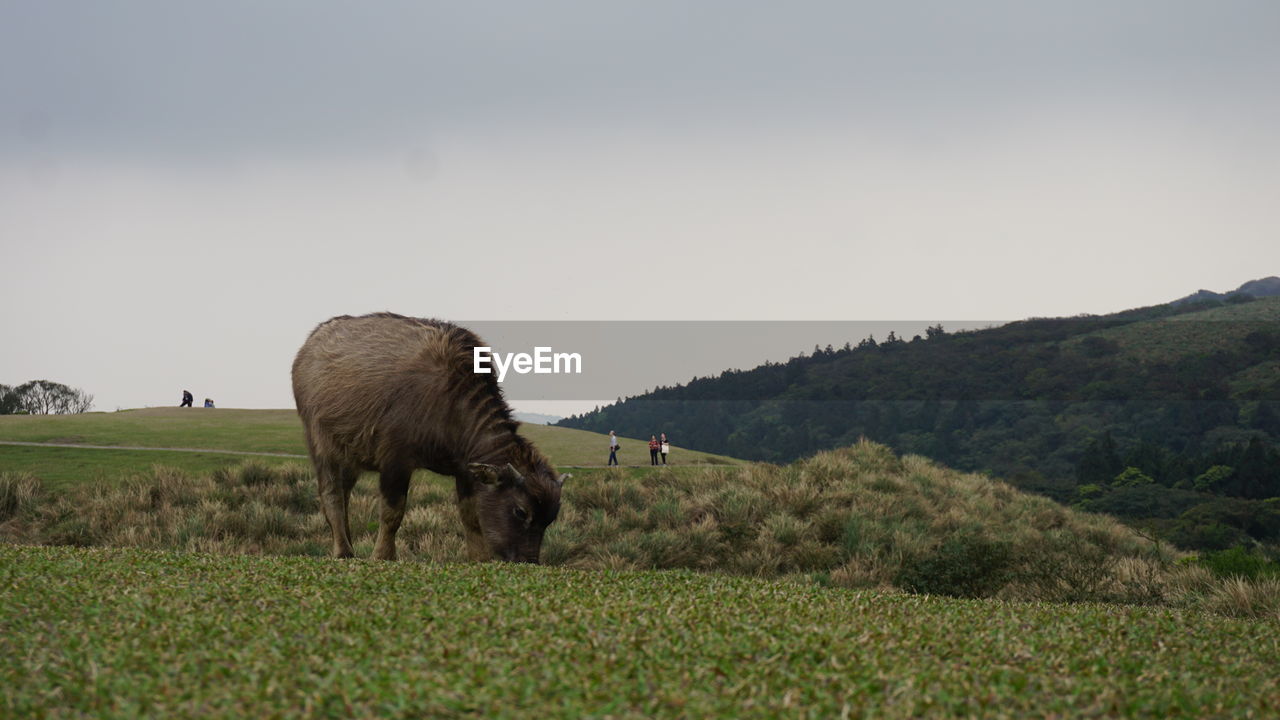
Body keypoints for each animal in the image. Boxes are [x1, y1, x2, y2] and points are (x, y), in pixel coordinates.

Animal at [296, 312, 568, 561]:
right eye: (520, 512)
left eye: (550, 519)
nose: (528, 561)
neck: (450, 403)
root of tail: (309, 346)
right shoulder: (395, 462)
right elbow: (392, 513)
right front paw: (383, 555)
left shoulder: (465, 471)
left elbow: (471, 517)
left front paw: (479, 557)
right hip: (322, 444)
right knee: (332, 495)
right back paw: (343, 550)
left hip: (351, 457)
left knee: (344, 495)